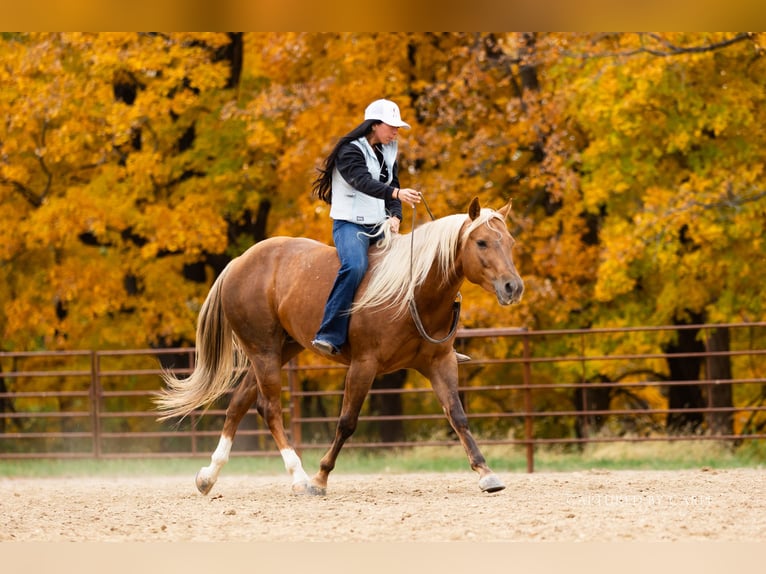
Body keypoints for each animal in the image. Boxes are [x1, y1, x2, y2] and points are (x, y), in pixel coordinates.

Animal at [156, 196, 524, 496]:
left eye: (509, 241)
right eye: (481, 242)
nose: (513, 286)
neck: (413, 291)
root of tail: (239, 262)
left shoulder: (440, 363)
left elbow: (457, 416)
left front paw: (486, 473)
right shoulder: (364, 365)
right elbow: (347, 421)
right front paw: (320, 479)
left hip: (281, 348)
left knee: (240, 403)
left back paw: (208, 477)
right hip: (264, 351)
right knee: (270, 408)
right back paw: (299, 477)